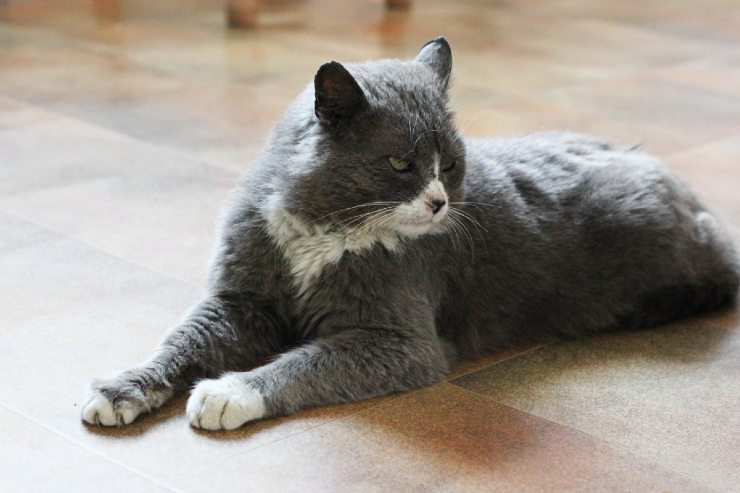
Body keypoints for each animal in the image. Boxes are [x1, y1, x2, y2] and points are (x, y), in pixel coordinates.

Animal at [78, 36, 736, 428]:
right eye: (400, 163)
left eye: (450, 163)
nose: (439, 202)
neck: (323, 225)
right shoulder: (240, 301)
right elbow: (180, 341)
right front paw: (120, 388)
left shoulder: (401, 342)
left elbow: (307, 361)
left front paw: (229, 392)